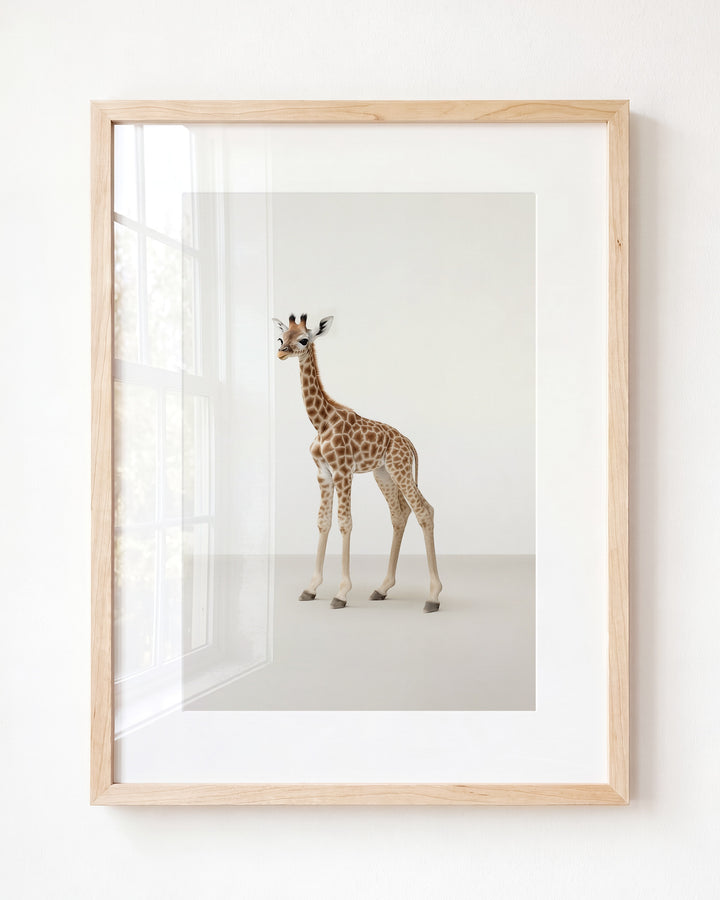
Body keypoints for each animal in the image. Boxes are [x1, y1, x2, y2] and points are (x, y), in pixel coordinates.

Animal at [273, 313, 442, 613]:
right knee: (400, 514)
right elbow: (323, 522)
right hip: (383, 473)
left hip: (399, 469)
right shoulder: (323, 473)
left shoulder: (343, 471)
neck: (321, 422)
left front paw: (341, 593)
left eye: (303, 339)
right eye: (281, 337)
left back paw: (433, 597)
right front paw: (310, 589)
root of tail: (408, 442)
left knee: (424, 510)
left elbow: (345, 522)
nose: (281, 352)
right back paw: (382, 588)